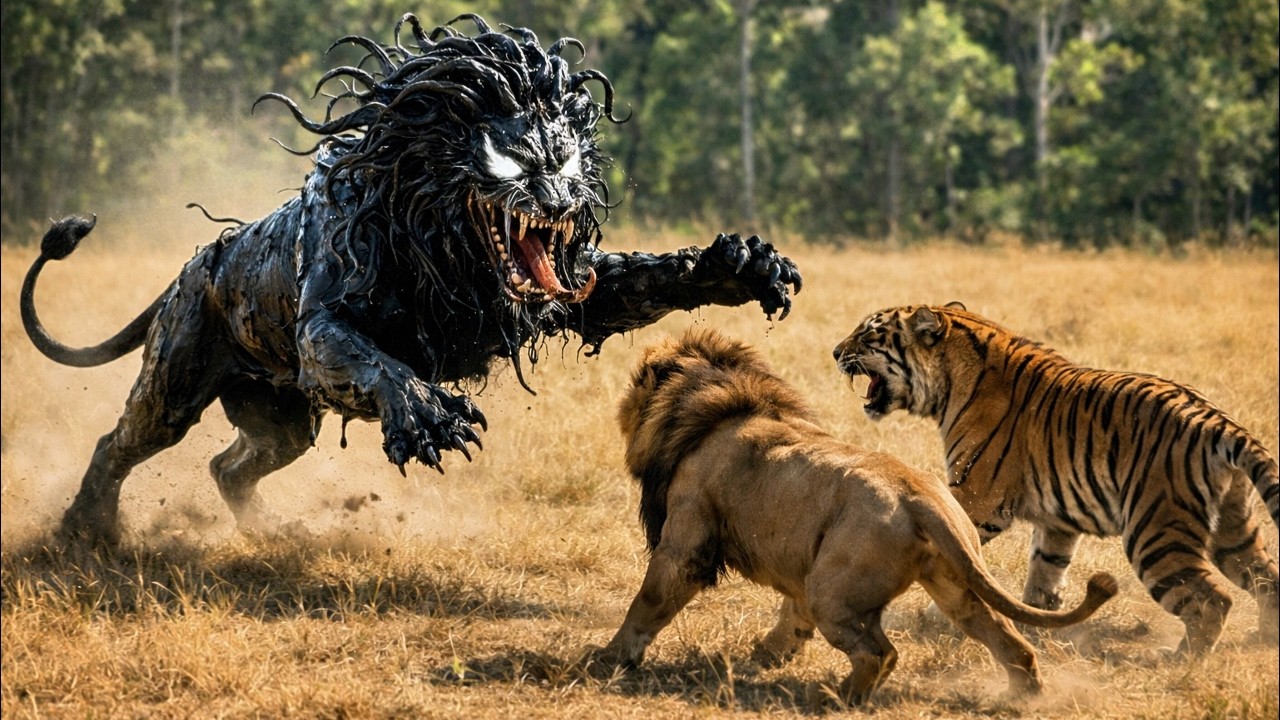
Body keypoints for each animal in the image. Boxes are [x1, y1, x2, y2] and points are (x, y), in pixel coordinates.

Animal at [20, 14, 801, 546]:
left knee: (227, 467)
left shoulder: (562, 299)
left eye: (568, 155)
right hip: (177, 386)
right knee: (118, 444)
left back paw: (273, 533)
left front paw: (744, 266)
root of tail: (191, 268)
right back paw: (85, 531)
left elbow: (644, 279)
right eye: (514, 158)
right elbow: (377, 362)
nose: (563, 201)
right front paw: (431, 417)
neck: (439, 241)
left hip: (282, 423)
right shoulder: (324, 330)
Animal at [597, 329, 1118, 704]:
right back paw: (1025, 696)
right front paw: (767, 654)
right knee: (1014, 643)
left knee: (880, 654)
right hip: (955, 587)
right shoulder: (801, 567)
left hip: (834, 592)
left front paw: (609, 658)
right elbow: (791, 615)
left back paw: (836, 696)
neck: (717, 401)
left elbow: (648, 601)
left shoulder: (686, 542)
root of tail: (923, 498)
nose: (619, 406)